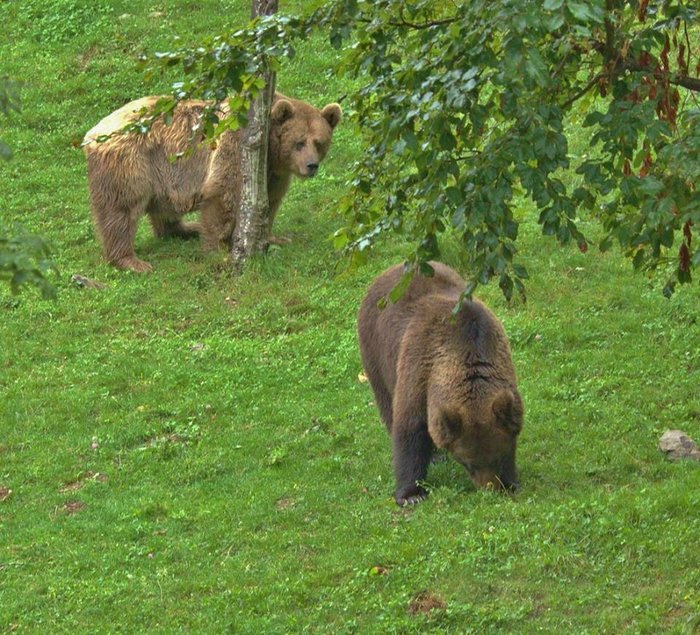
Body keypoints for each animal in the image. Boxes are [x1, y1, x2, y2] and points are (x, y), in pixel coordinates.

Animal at [82, 93, 342, 272]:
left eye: (319, 142)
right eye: (299, 142)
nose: (311, 165)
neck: (268, 150)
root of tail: (93, 132)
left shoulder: (273, 173)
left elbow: (270, 200)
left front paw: (273, 237)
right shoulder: (236, 144)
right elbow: (222, 192)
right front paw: (218, 249)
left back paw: (185, 229)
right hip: (131, 162)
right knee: (121, 210)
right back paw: (131, 260)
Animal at [358, 260, 524, 504]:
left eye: (497, 456)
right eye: (468, 462)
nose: (488, 487)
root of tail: (391, 268)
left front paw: (511, 482)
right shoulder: (420, 367)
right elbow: (410, 426)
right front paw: (412, 493)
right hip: (375, 351)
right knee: (386, 401)